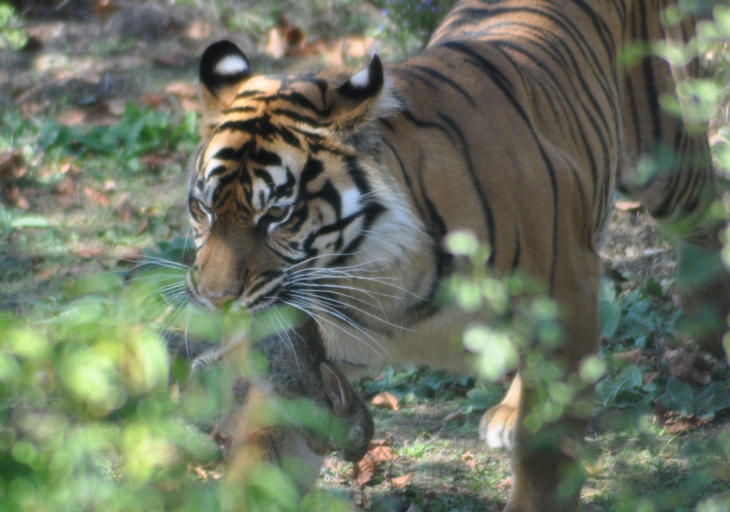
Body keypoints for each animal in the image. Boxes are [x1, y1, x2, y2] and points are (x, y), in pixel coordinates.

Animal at [183, 1, 728, 508]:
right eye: (203, 209)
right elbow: (264, 463)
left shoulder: (565, 312)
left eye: (276, 214)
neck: (372, 280)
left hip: (667, 157)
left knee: (706, 214)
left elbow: (546, 460)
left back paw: (709, 329)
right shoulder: (311, 362)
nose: (214, 299)